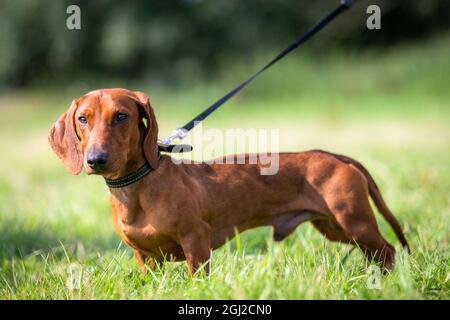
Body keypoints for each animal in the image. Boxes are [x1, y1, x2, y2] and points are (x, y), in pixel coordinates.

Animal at [48, 88, 408, 276]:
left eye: (121, 116)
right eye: (83, 118)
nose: (95, 160)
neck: (138, 189)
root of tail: (336, 156)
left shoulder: (196, 242)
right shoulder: (144, 257)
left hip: (355, 222)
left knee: (388, 250)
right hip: (336, 228)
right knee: (376, 254)